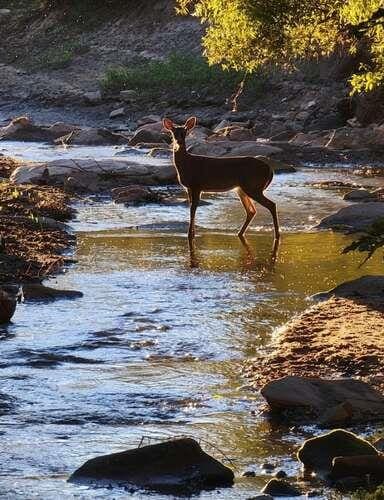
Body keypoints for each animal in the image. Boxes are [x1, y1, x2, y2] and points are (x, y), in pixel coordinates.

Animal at [162, 115, 280, 244]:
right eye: (173, 133)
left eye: (185, 132)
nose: (178, 142)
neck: (186, 164)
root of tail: (270, 169)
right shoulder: (189, 187)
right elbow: (191, 207)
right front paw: (191, 233)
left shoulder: (197, 185)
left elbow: (193, 208)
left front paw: (190, 234)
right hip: (242, 188)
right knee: (251, 211)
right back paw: (240, 233)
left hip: (253, 186)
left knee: (271, 205)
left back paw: (277, 234)